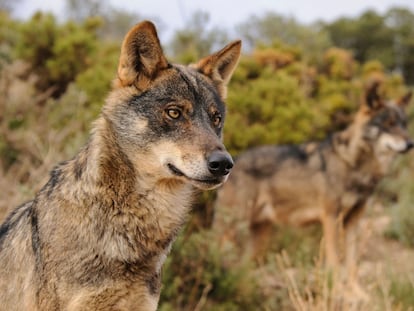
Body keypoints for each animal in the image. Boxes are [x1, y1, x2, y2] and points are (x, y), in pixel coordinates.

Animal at [215, 83, 412, 272]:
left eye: (403, 124)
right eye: (389, 123)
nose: (411, 144)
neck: (353, 164)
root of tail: (234, 160)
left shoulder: (353, 221)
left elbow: (352, 265)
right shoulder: (331, 217)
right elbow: (334, 261)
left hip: (259, 235)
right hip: (233, 229)